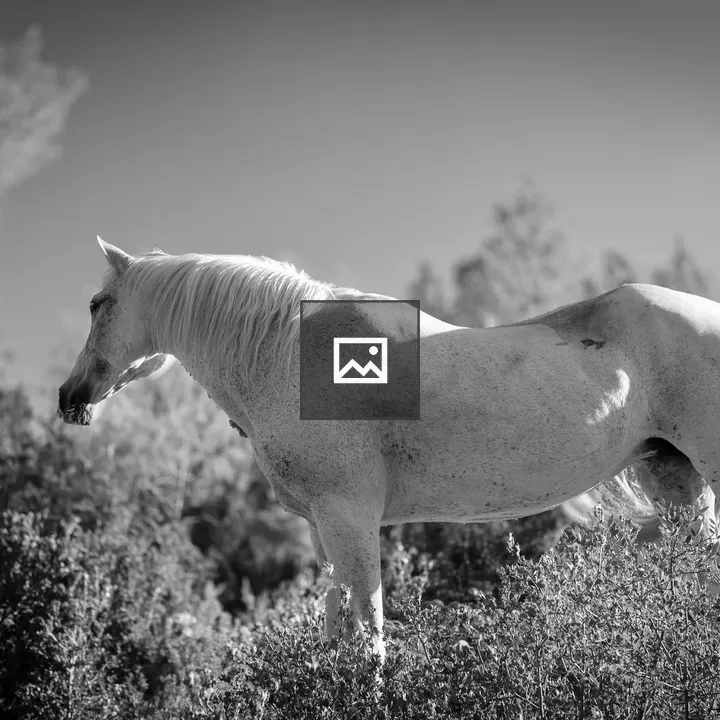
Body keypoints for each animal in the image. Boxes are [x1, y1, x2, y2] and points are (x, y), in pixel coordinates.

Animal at [58, 236, 720, 662]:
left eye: (95, 304)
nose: (70, 397)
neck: (288, 351)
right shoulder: (322, 527)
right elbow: (336, 631)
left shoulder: (350, 518)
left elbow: (369, 634)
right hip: (675, 481)